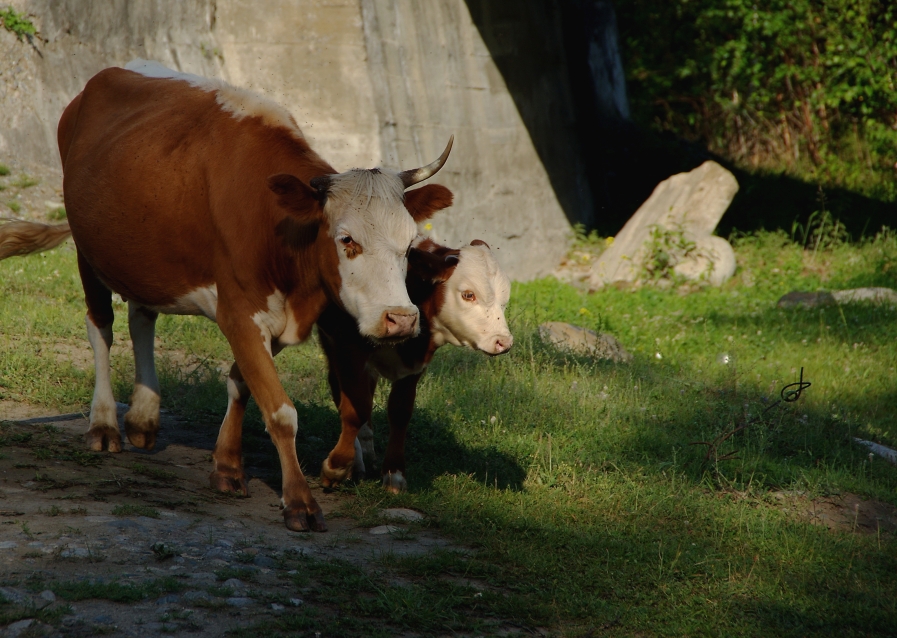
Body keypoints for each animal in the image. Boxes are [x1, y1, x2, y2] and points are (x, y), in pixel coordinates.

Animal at [14, 60, 458, 532]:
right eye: (347, 240)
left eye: (409, 244)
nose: (401, 319)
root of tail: (107, 75)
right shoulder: (239, 312)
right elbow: (281, 411)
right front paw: (298, 501)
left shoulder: (275, 318)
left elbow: (245, 384)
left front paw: (230, 465)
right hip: (89, 251)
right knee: (101, 328)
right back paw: (105, 425)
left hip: (144, 258)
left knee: (142, 317)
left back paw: (143, 416)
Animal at [316, 238, 512, 492]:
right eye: (469, 294)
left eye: (504, 299)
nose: (504, 342)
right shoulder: (346, 348)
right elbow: (354, 407)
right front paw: (338, 467)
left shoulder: (414, 367)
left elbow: (400, 411)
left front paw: (394, 474)